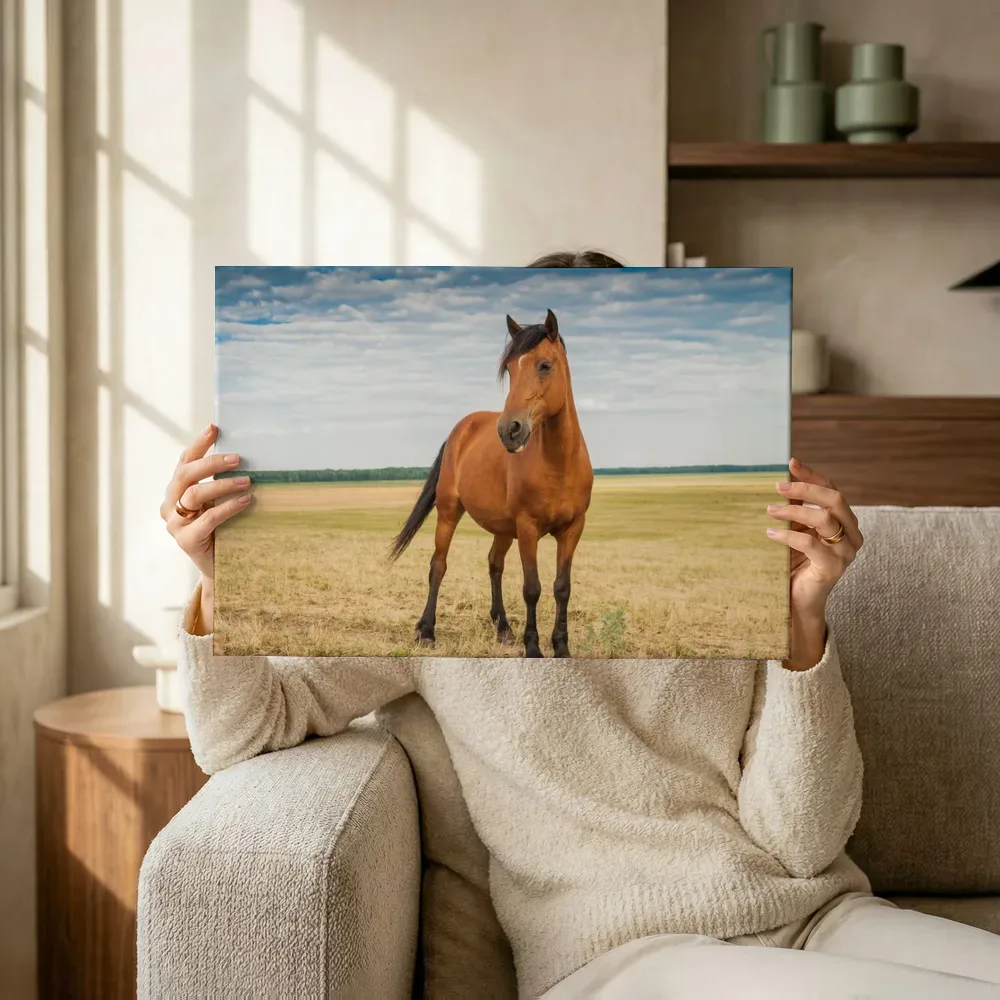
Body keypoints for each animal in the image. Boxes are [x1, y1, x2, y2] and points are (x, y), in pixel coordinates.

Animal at [389, 308, 593, 658]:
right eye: (509, 369)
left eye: (545, 365)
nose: (509, 429)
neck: (560, 463)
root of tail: (461, 428)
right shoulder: (528, 528)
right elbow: (532, 588)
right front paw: (533, 648)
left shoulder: (572, 529)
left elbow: (562, 588)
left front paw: (561, 648)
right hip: (449, 512)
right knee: (438, 565)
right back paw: (427, 630)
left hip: (503, 528)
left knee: (494, 564)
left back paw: (503, 627)